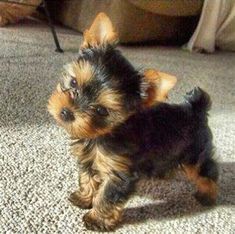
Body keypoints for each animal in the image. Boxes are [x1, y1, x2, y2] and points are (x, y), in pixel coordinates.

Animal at [47, 12, 218, 230]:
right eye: (74, 82)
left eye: (102, 110)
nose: (66, 113)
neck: (103, 134)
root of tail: (196, 109)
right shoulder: (88, 158)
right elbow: (87, 177)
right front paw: (84, 198)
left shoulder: (119, 173)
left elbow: (107, 196)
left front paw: (96, 219)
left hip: (195, 153)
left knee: (207, 170)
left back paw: (208, 195)